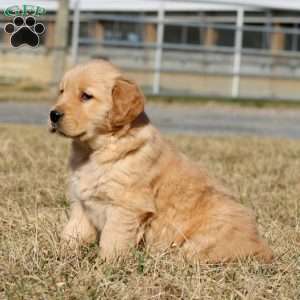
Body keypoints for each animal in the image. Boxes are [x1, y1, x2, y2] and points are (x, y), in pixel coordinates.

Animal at [49, 59, 272, 262]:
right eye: (61, 92)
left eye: (86, 96)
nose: (53, 114)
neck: (94, 151)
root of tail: (263, 249)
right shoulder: (82, 204)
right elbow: (72, 233)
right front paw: (60, 257)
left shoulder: (126, 207)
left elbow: (112, 241)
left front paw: (106, 266)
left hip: (204, 238)